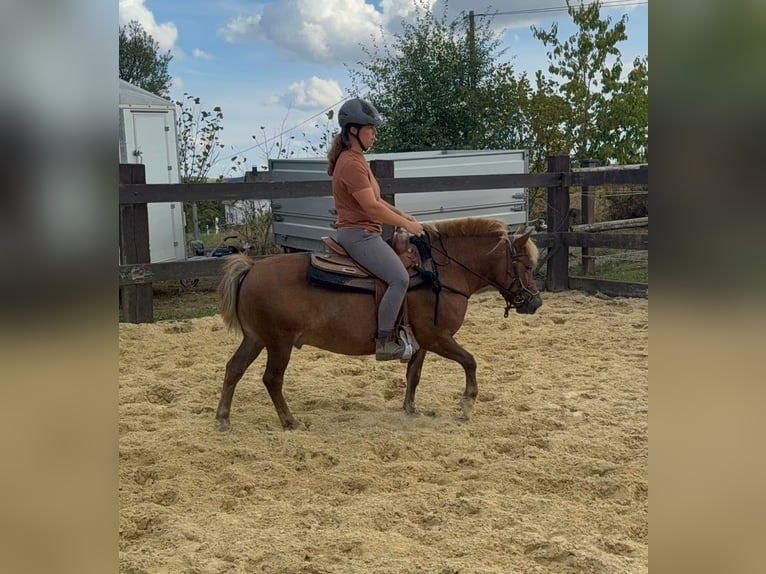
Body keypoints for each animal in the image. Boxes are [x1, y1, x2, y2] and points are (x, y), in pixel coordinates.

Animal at [215, 217, 542, 430]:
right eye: (527, 265)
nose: (536, 303)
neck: (440, 272)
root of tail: (252, 267)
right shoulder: (438, 337)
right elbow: (470, 361)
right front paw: (467, 403)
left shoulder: (422, 341)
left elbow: (414, 375)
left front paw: (409, 409)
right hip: (278, 344)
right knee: (272, 379)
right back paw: (289, 421)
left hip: (256, 339)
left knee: (234, 369)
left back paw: (223, 419)